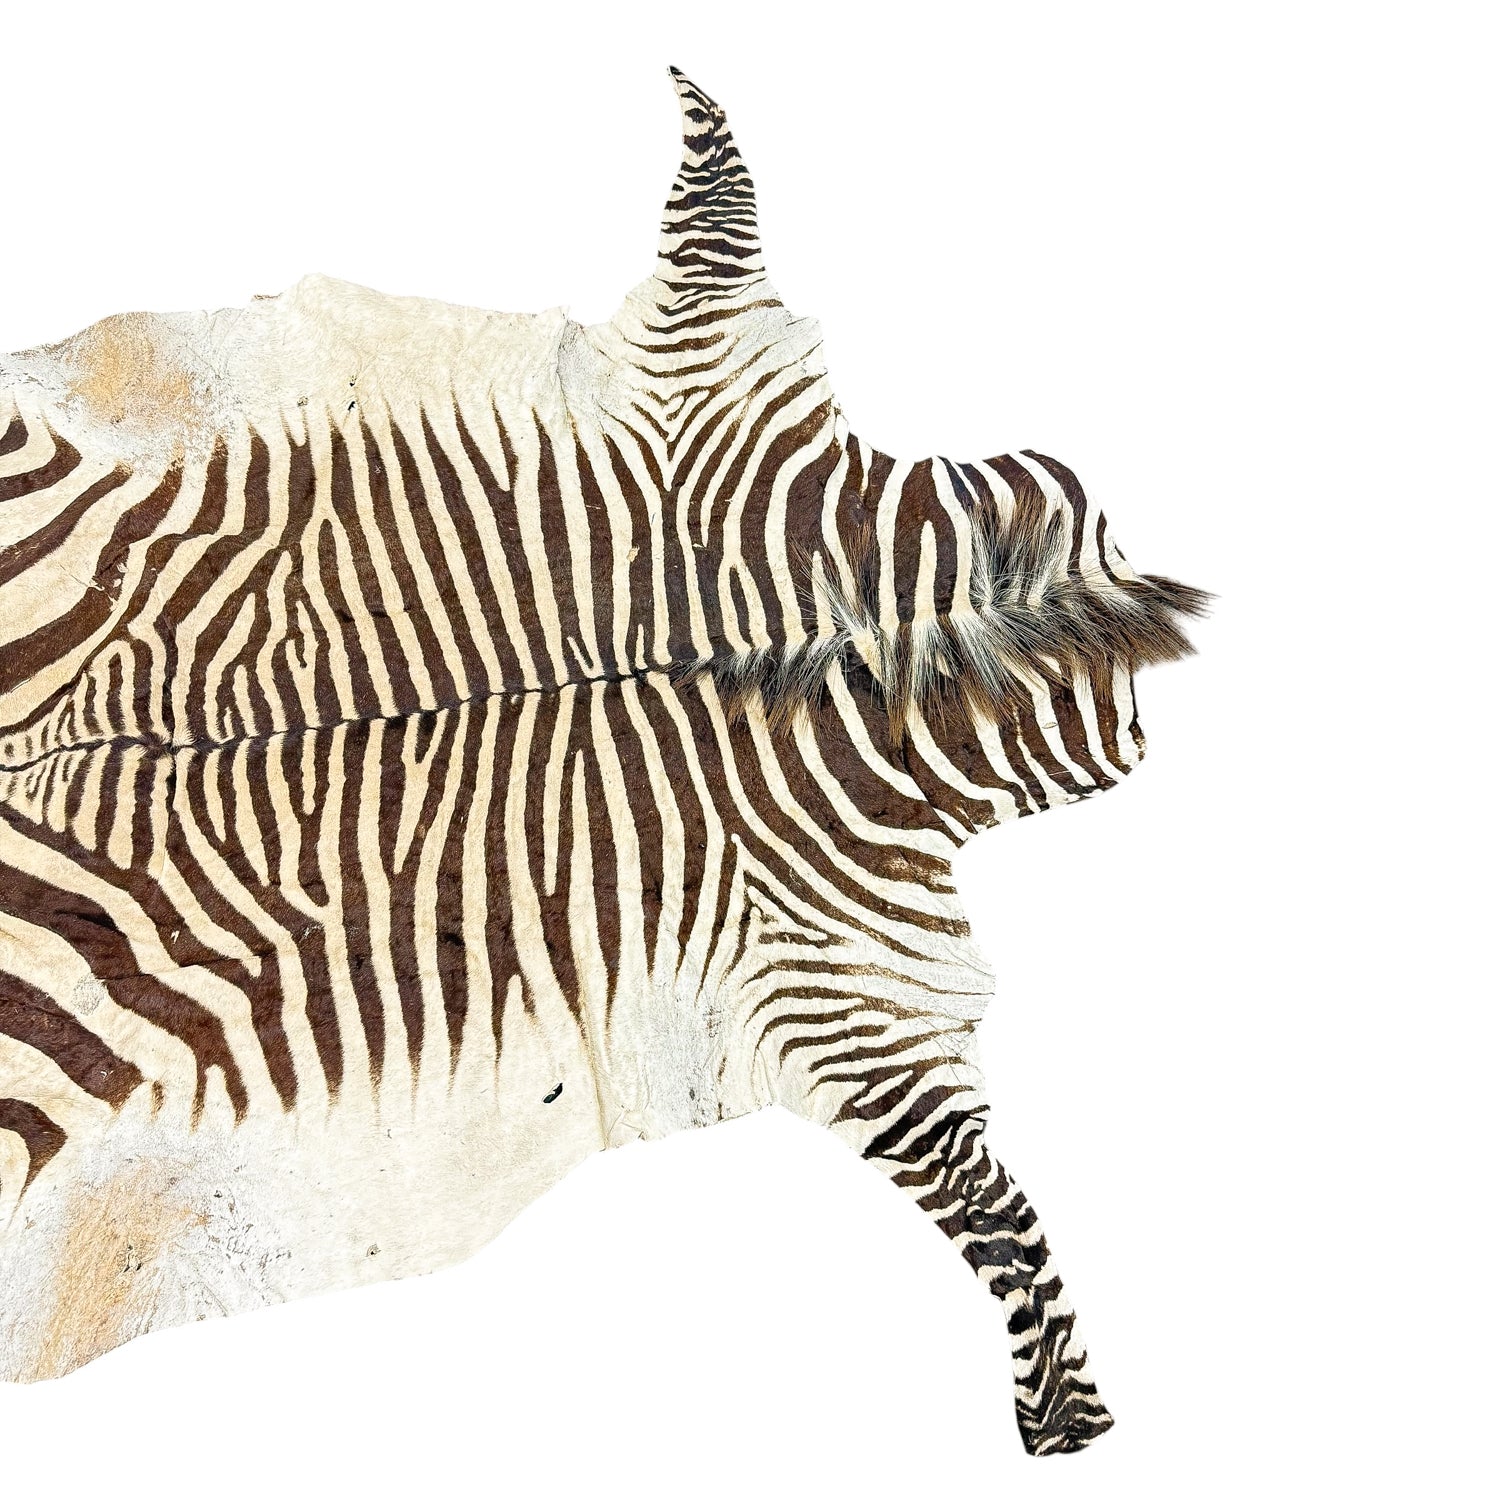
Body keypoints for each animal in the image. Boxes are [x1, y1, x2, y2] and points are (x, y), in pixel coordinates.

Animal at [0, 68, 1204, 1454]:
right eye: (1070, 500)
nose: (1145, 603)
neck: (857, 645)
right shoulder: (848, 988)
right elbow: (994, 1204)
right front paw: (1069, 1416)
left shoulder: (832, 979)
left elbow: (988, 1199)